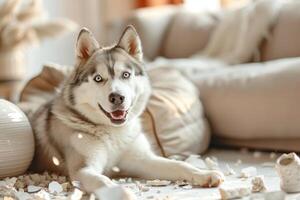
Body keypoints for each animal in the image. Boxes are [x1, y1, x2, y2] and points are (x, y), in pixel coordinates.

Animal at [29, 25, 223, 195]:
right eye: (98, 78)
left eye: (126, 75)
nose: (117, 97)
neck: (114, 133)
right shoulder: (83, 169)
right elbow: (103, 180)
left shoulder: (143, 160)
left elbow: (179, 165)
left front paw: (204, 174)